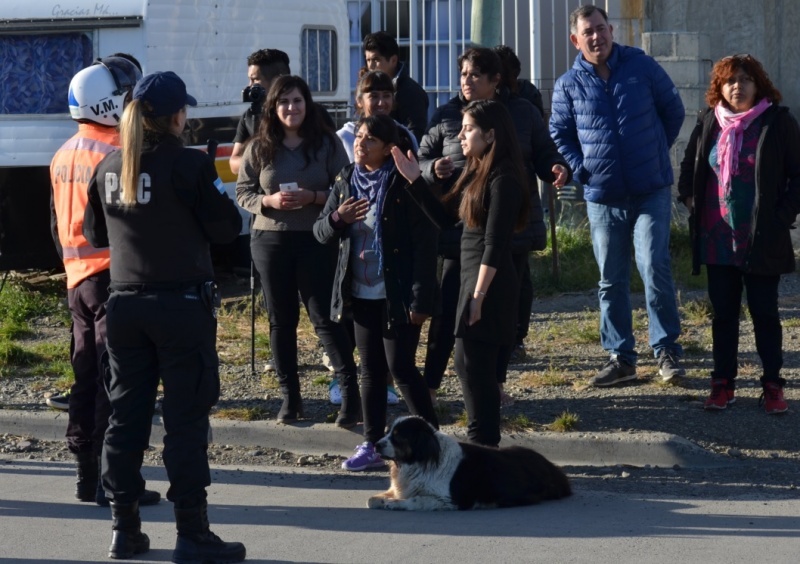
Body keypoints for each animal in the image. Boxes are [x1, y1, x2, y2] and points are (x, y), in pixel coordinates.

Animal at [366, 414, 572, 512]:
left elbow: (417, 500)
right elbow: (372, 499)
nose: (376, 445)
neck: (420, 460)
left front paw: (395, 503)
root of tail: (552, 467)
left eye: (399, 436)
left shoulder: (450, 500)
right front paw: (383, 500)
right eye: (388, 432)